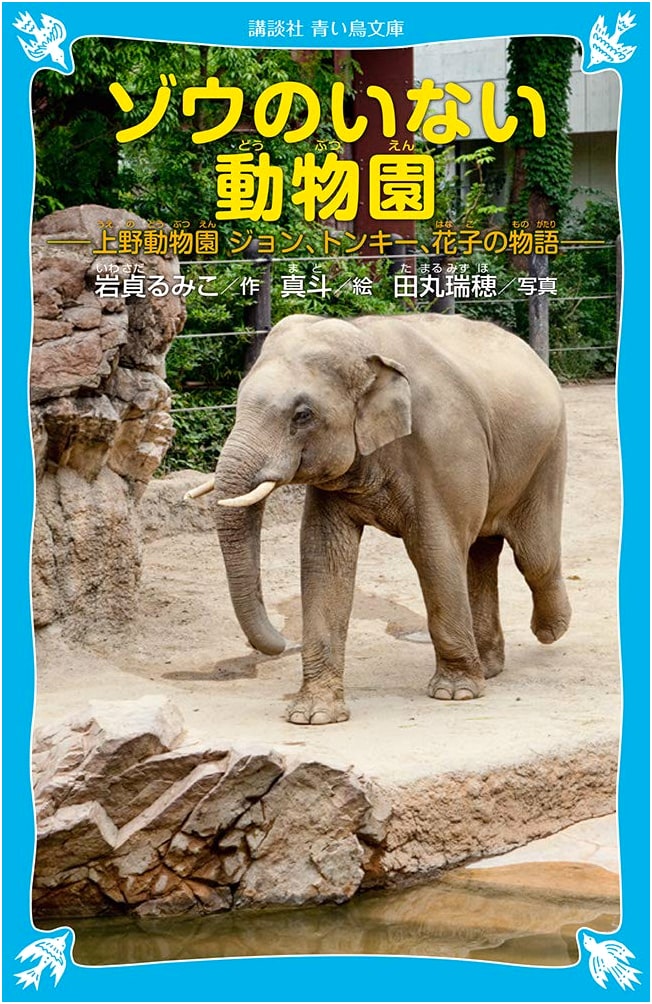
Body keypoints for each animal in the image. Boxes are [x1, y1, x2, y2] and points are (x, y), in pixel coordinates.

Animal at [205, 312, 571, 725]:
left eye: (302, 415)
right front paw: (313, 715)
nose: (283, 643)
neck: (366, 341)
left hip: (546, 455)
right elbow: (322, 555)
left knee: (534, 557)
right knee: (482, 553)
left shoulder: (443, 444)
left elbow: (433, 549)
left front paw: (455, 693)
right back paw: (490, 667)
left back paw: (550, 631)